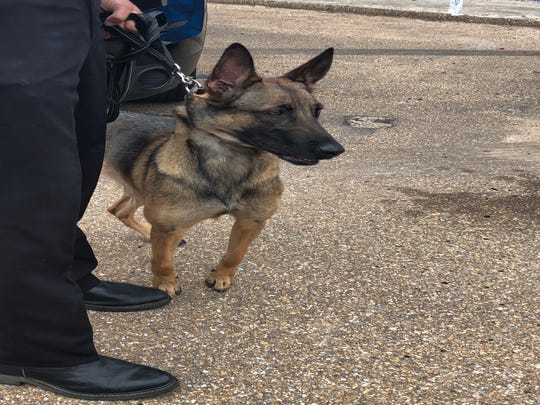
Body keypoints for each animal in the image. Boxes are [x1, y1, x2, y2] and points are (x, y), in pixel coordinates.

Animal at [103, 44, 344, 296]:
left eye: (316, 111)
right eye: (277, 112)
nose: (335, 150)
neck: (230, 160)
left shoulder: (251, 222)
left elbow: (234, 255)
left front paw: (221, 276)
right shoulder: (166, 227)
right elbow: (162, 261)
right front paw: (166, 283)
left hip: (139, 189)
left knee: (119, 210)